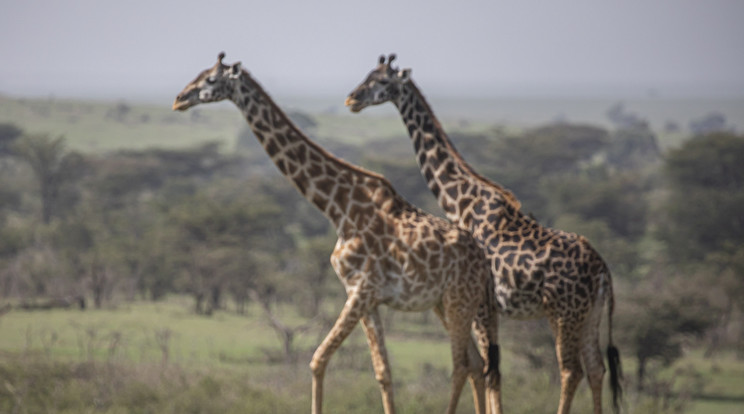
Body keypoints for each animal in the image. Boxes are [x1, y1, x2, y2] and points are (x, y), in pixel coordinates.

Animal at [174, 53, 500, 414]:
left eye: (211, 80)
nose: (179, 99)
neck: (338, 208)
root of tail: (483, 262)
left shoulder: (361, 290)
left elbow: (318, 359)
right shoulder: (367, 297)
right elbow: (382, 372)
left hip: (459, 300)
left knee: (461, 365)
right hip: (444, 303)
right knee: (476, 364)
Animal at [348, 54, 620, 414]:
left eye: (381, 81)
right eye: (367, 74)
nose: (352, 99)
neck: (461, 201)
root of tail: (603, 271)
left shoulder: (479, 305)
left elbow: (489, 371)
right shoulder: (489, 308)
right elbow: (492, 371)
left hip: (564, 312)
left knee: (571, 370)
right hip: (590, 314)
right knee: (596, 368)